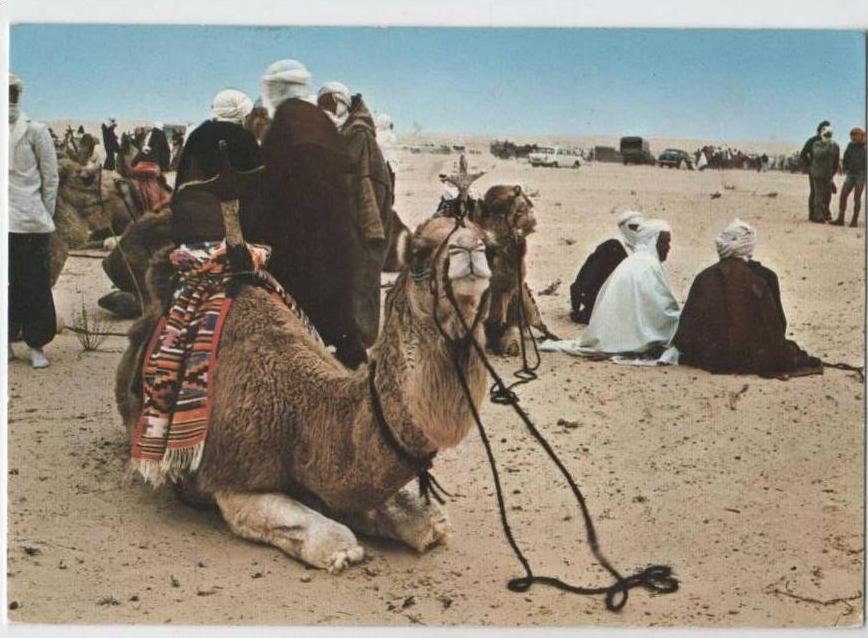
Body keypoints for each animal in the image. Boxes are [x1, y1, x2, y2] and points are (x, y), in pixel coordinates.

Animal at [116, 216, 496, 576]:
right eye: (418, 253)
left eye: (489, 243)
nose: (470, 249)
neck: (305, 414)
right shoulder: (227, 479)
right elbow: (332, 537)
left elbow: (427, 521)